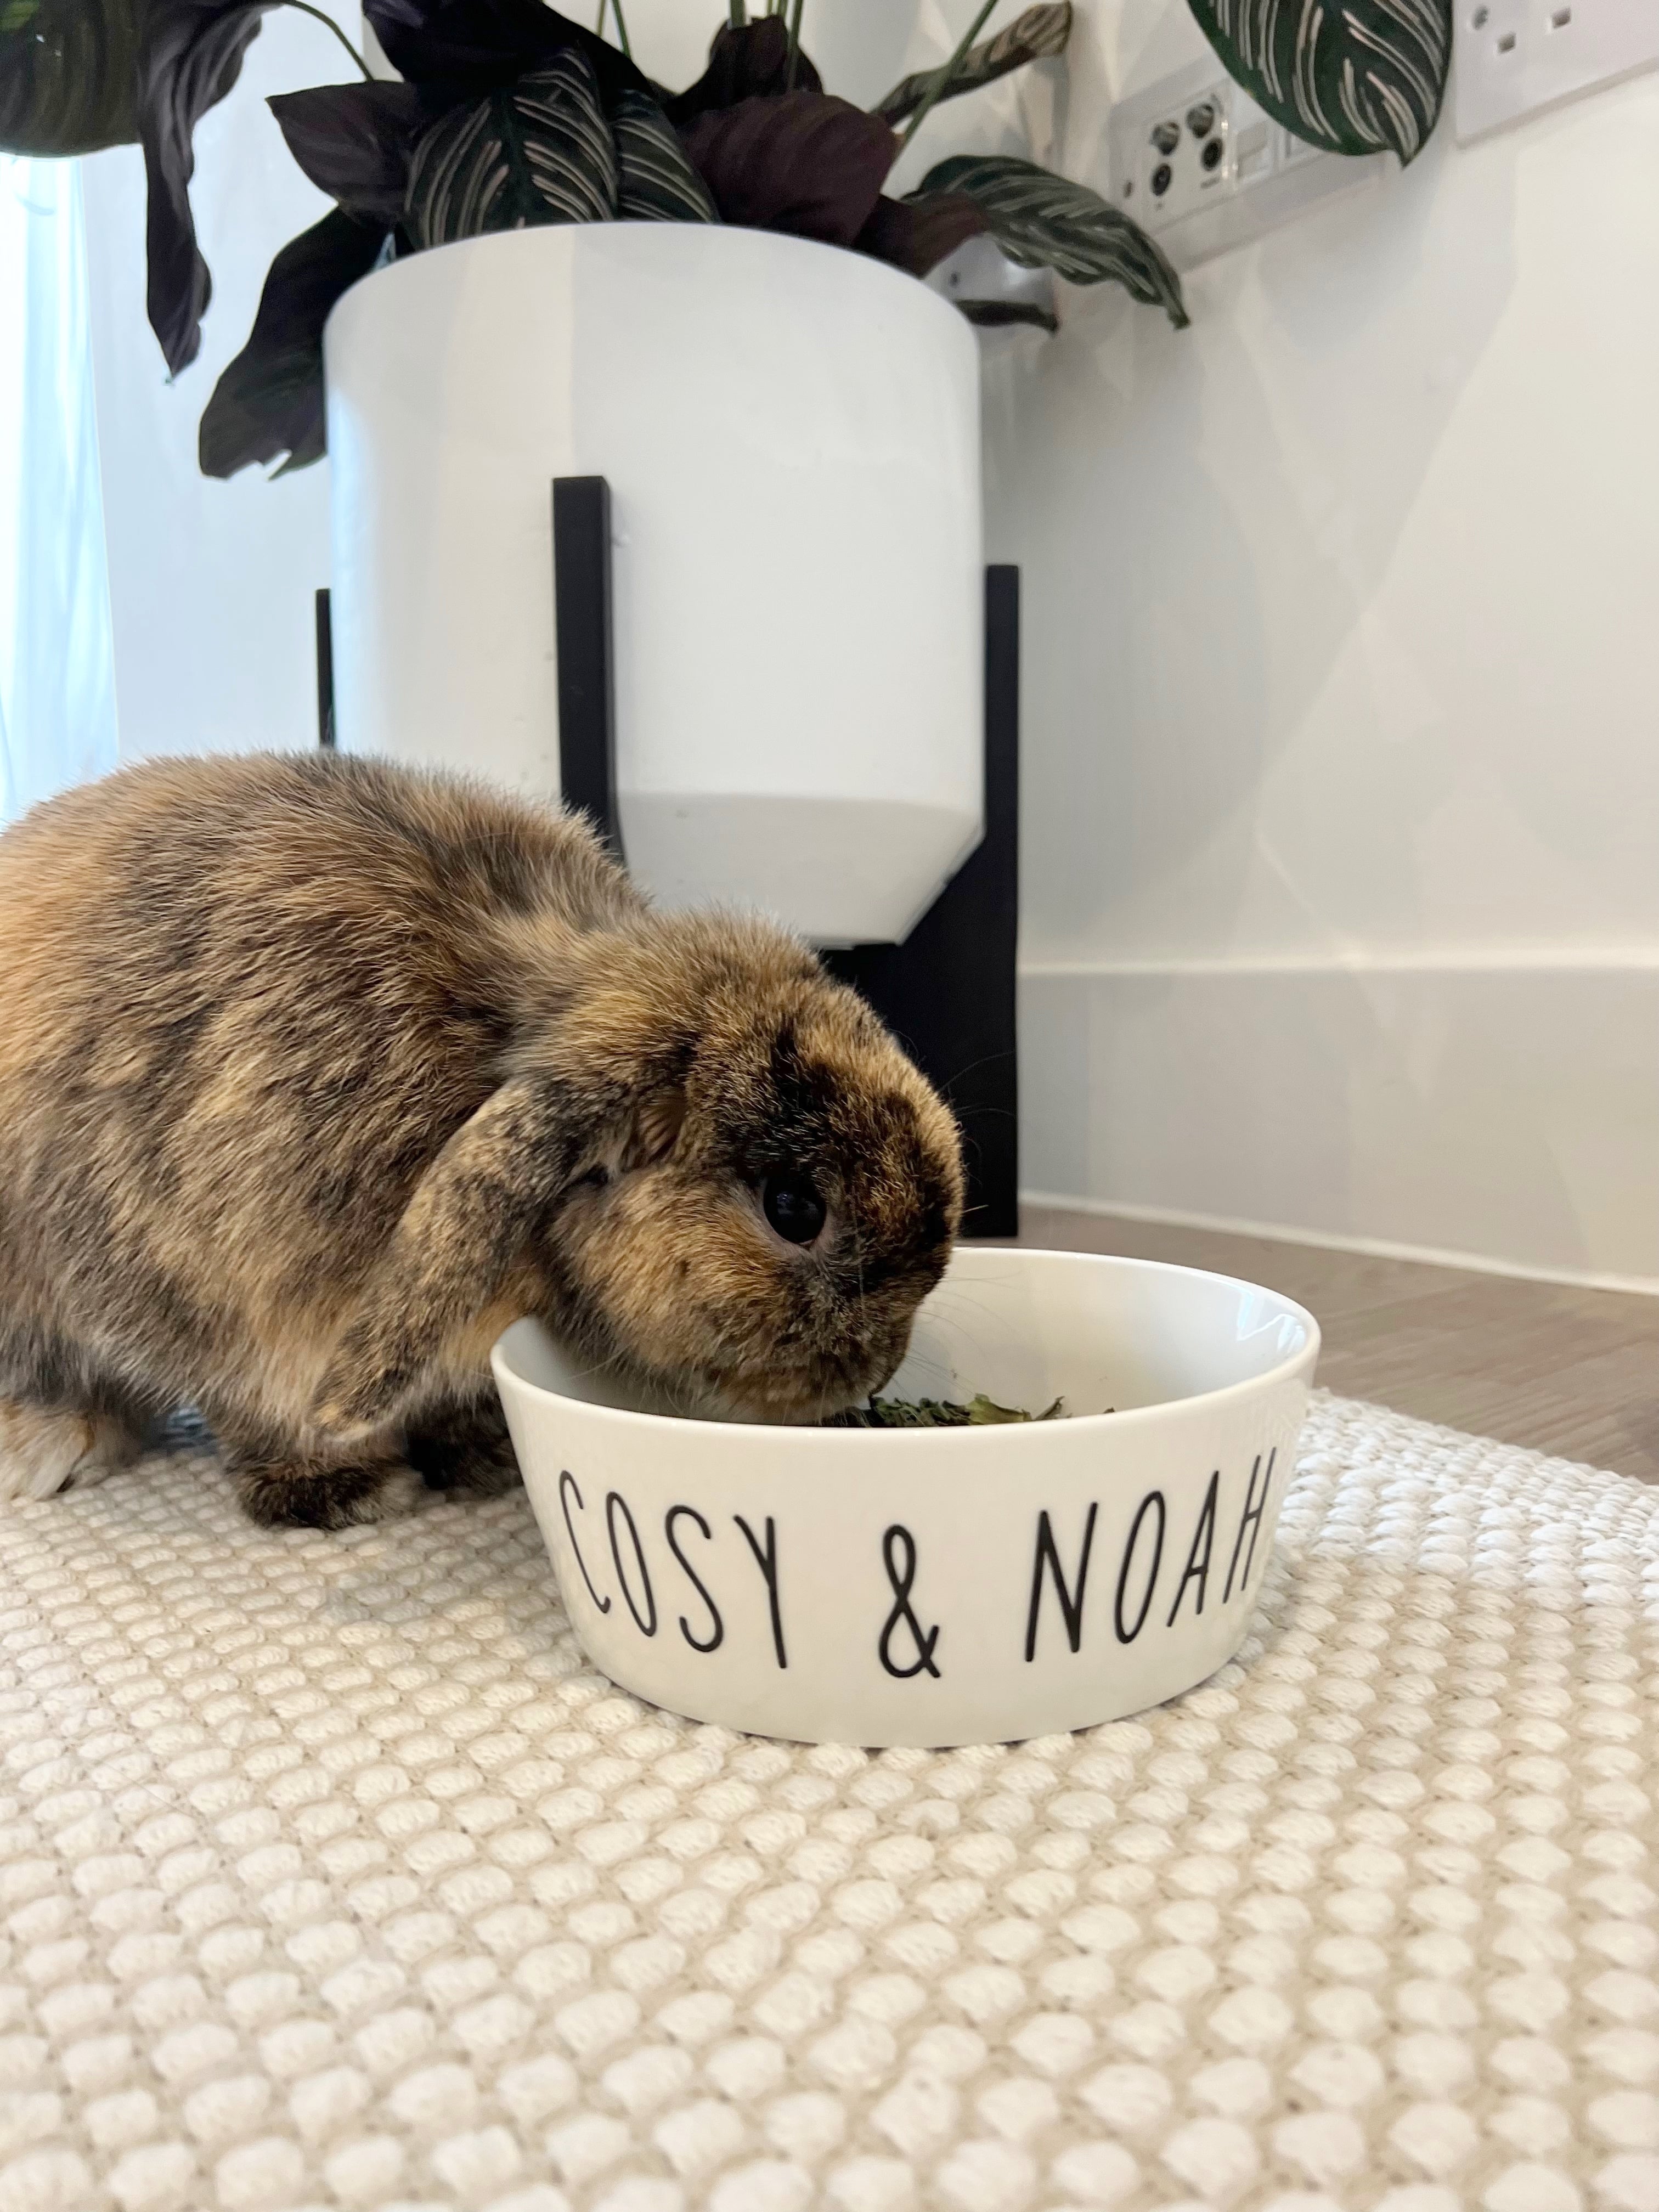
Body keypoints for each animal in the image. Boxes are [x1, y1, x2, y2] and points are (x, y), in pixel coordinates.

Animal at [0, 752, 960, 1531]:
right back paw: (50, 1448)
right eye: (794, 1207)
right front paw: (348, 1492)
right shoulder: (226, 1307)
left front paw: (482, 1455)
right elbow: (270, 1411)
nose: (874, 1376)